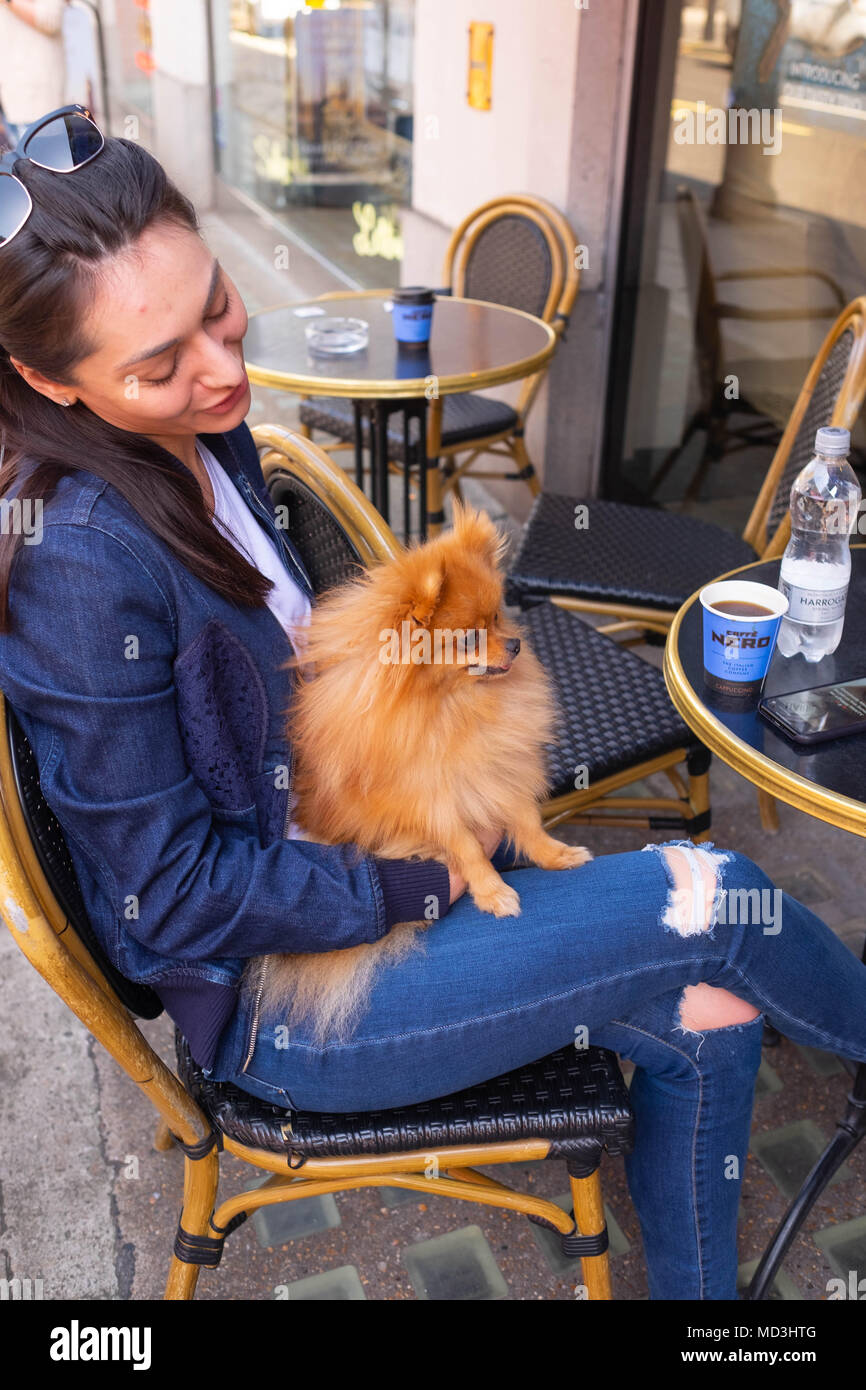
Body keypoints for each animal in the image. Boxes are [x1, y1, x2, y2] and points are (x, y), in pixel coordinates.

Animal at [247, 500, 592, 1045]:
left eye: (499, 617)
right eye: (470, 638)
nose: (515, 645)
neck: (454, 706)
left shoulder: (498, 770)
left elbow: (525, 820)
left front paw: (554, 855)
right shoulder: (427, 801)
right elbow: (466, 845)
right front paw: (492, 890)